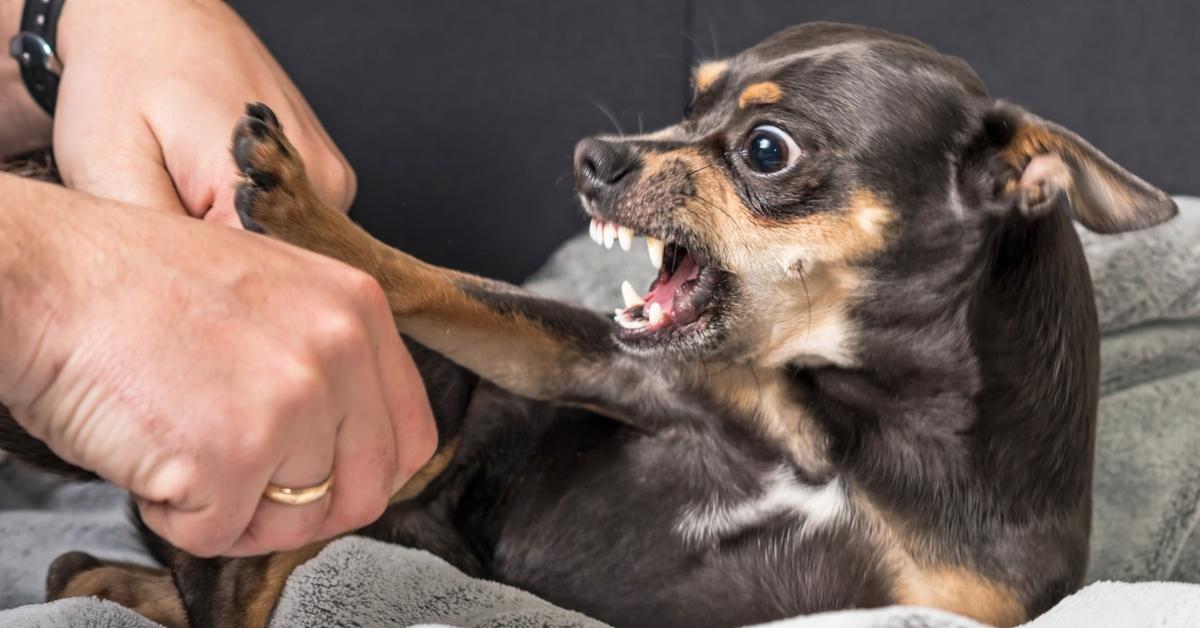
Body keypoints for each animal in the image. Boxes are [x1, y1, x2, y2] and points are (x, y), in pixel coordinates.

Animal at [4, 20, 1176, 628]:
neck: (854, 427)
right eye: (689, 103)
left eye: (765, 149)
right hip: (421, 426)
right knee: (214, 587)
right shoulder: (606, 367)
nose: (594, 157)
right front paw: (306, 213)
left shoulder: (951, 605)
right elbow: (438, 282)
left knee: (170, 588)